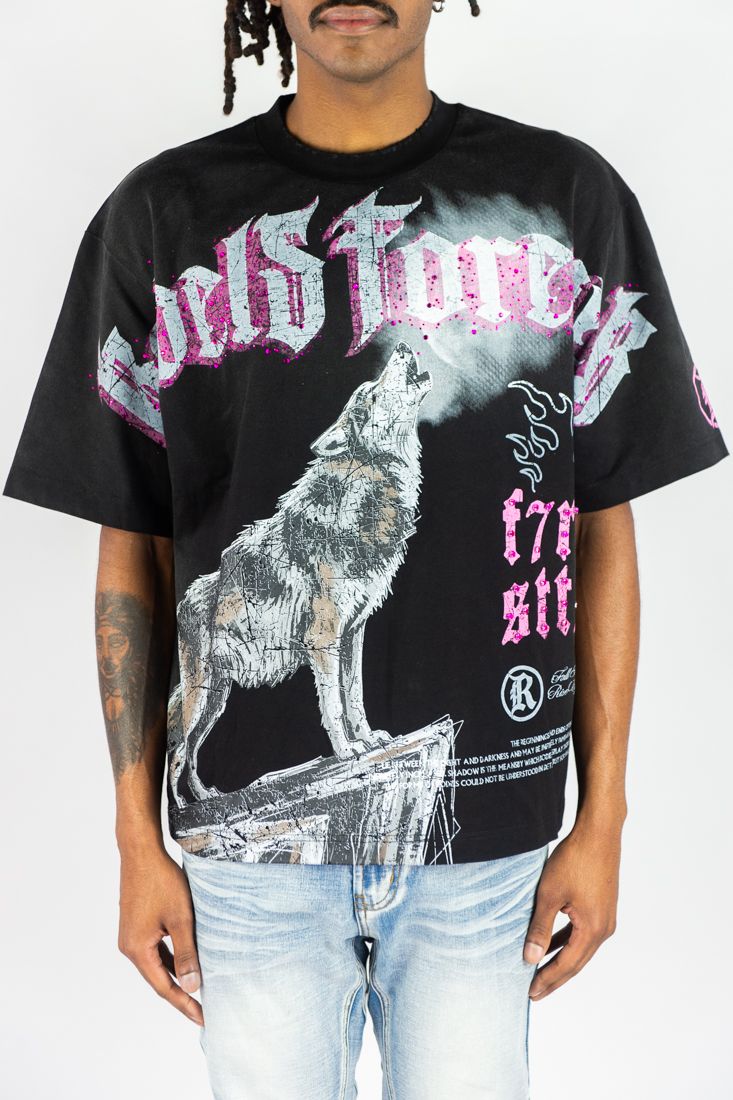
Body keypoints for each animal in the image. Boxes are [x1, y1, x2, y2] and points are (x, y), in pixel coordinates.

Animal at [167, 341, 432, 804]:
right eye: (371, 394)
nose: (401, 346)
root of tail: (184, 601)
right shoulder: (323, 639)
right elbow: (333, 705)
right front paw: (347, 751)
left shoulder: (354, 633)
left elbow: (355, 696)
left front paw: (370, 739)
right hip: (202, 696)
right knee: (178, 752)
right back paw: (185, 808)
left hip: (217, 697)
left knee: (193, 749)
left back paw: (207, 798)